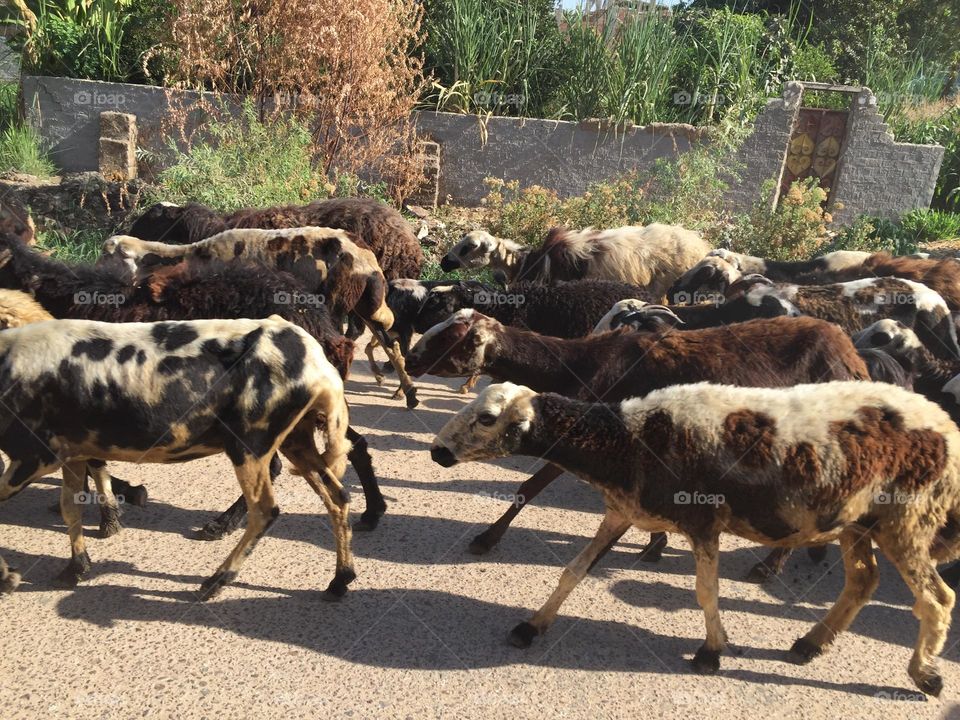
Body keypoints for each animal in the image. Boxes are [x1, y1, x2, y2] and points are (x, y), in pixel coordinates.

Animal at [0, 234, 387, 533]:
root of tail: (323, 328)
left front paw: (117, 502)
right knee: (354, 442)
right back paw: (373, 511)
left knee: (277, 465)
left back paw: (223, 524)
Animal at [0, 317, 356, 601]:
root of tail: (318, 363)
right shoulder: (72, 452)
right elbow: (70, 508)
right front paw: (75, 569)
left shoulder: (33, 456)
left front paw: (8, 578)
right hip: (296, 439)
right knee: (337, 496)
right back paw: (340, 580)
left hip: (250, 444)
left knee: (265, 511)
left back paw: (214, 582)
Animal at [101, 226, 419, 408]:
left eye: (110, 255)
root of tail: (368, 261)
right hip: (364, 305)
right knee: (390, 344)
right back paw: (406, 393)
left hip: (336, 303)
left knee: (344, 345)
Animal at [406, 310, 869, 581]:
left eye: (449, 339)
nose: (409, 359)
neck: (577, 365)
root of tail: (853, 357)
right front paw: (655, 544)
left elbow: (529, 487)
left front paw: (487, 539)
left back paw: (770, 565)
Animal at [431, 380, 960, 696]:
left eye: (486, 418)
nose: (437, 452)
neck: (629, 439)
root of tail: (945, 423)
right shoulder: (621, 512)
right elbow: (573, 572)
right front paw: (532, 625)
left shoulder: (704, 522)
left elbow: (706, 592)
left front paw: (710, 652)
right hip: (858, 520)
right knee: (863, 581)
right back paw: (811, 644)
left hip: (908, 517)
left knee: (936, 598)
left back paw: (926, 673)